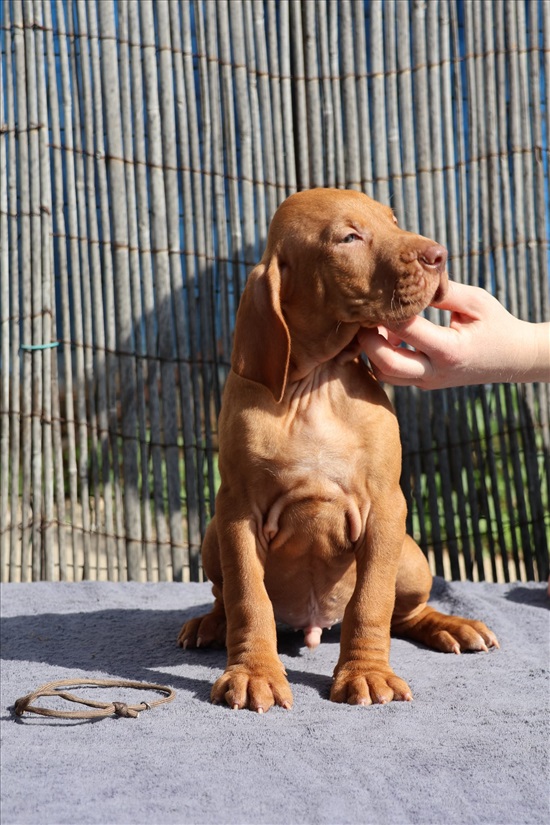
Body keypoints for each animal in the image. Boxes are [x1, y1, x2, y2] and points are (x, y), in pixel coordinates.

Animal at [180, 187, 500, 708]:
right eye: (349, 238)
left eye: (394, 221)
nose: (439, 255)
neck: (316, 385)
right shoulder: (237, 511)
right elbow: (249, 598)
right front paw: (253, 672)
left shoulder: (386, 508)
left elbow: (371, 600)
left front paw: (366, 673)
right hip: (212, 536)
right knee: (225, 598)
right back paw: (210, 624)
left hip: (411, 557)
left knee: (405, 613)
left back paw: (452, 626)